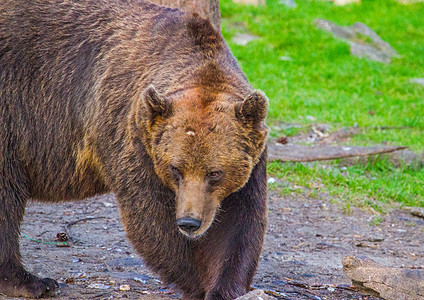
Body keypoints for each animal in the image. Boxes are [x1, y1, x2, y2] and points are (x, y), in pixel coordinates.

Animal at [0, 0, 268, 300]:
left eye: (215, 173)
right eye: (176, 169)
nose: (189, 222)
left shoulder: (250, 162)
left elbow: (238, 225)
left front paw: (224, 287)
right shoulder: (133, 137)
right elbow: (151, 221)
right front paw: (197, 283)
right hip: (13, 112)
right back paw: (30, 280)